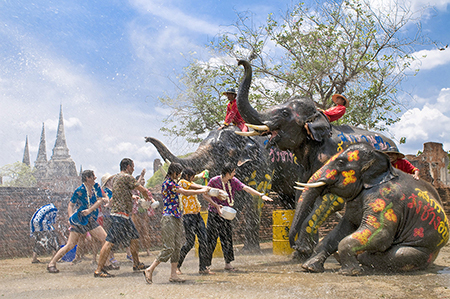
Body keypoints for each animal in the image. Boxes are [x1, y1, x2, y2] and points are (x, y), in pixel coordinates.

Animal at [146, 126, 300, 251]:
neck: (243, 133)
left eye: (220, 148)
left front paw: (248, 250)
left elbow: (255, 196)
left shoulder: (264, 161)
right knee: (287, 198)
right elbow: (235, 199)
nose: (146, 138)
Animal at [236, 59, 398, 256]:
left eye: (285, 113)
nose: (240, 62)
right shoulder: (304, 167)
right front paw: (301, 254)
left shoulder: (330, 157)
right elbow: (303, 194)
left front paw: (303, 250)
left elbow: (329, 199)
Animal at [290, 143, 448, 276]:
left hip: (425, 251)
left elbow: (380, 234)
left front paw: (349, 272)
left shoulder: (385, 199)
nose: (294, 246)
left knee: (399, 254)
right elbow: (342, 230)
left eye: (340, 163)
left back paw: (361, 262)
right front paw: (309, 268)